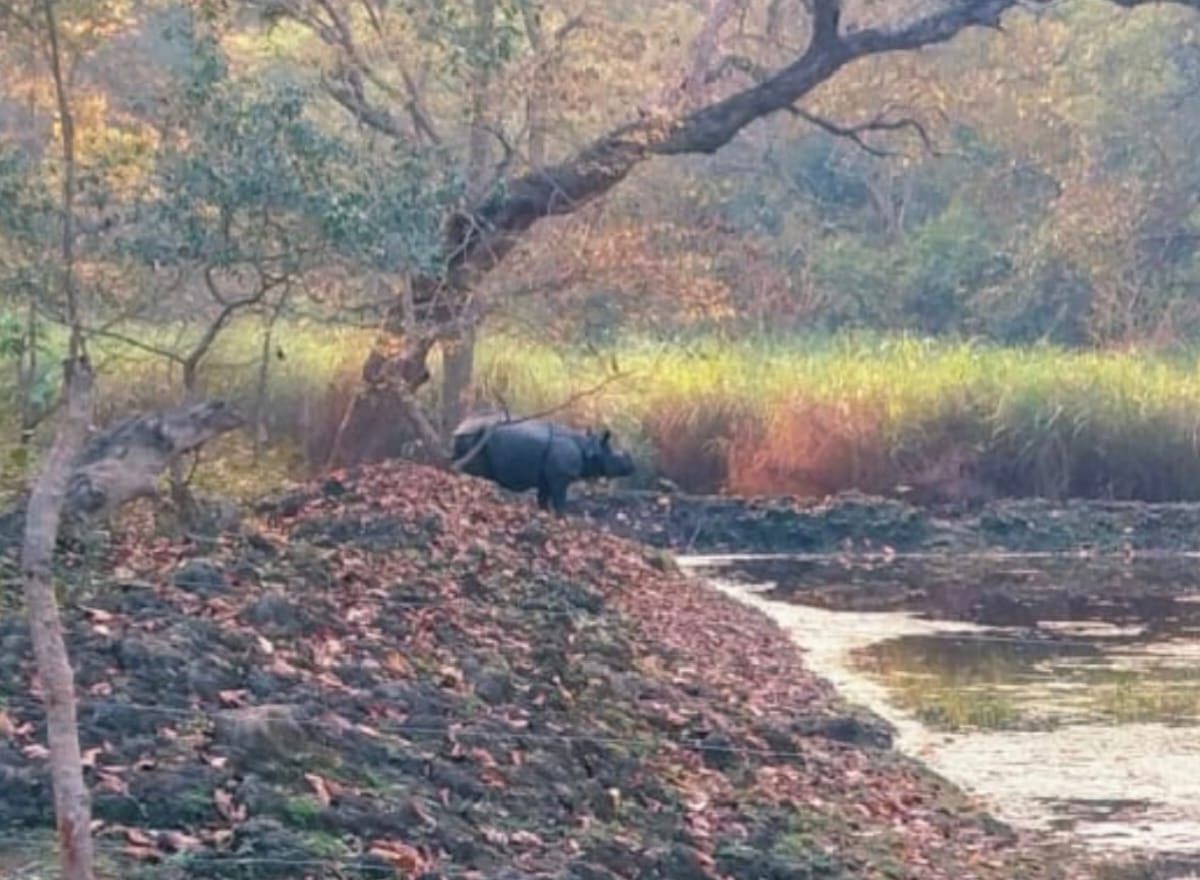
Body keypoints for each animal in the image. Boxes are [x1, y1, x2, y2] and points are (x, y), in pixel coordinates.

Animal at [452, 413, 636, 514]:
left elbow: (542, 499)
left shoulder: (547, 477)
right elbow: (560, 501)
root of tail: (460, 427)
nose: (633, 467)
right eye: (615, 458)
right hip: (474, 436)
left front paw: (544, 514)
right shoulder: (561, 475)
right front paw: (562, 519)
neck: (587, 446)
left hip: (470, 435)